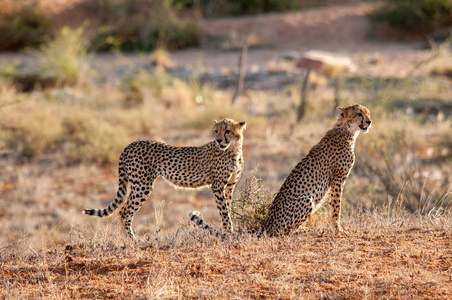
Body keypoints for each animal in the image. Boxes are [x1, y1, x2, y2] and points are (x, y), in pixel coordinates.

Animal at [85, 118, 247, 238]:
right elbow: (224, 211)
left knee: (123, 211)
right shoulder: (217, 186)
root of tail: (130, 144)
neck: (233, 150)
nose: (219, 140)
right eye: (216, 131)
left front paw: (227, 231)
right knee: (124, 212)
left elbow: (227, 208)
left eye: (227, 131)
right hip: (142, 186)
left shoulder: (229, 186)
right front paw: (228, 233)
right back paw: (132, 241)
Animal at [190, 103, 370, 237]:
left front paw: (336, 229)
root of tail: (267, 224)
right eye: (359, 114)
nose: (369, 122)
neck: (346, 131)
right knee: (284, 233)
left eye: (368, 113)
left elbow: (334, 205)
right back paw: (308, 231)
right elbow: (336, 207)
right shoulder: (338, 178)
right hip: (307, 199)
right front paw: (338, 230)